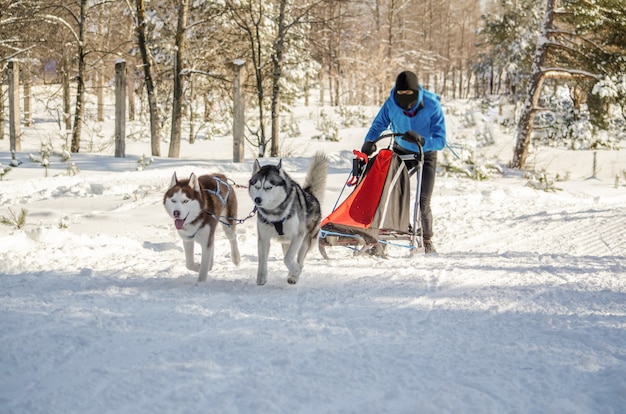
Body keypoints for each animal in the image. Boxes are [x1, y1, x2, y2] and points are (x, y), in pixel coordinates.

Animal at [247, 152, 330, 284]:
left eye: (269, 187)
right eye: (257, 186)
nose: (257, 200)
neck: (275, 214)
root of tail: (310, 195)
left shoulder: (298, 235)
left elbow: (288, 259)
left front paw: (294, 270)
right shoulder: (263, 238)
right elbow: (262, 259)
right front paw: (262, 277)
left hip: (305, 240)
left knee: (300, 261)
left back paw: (294, 275)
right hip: (287, 242)